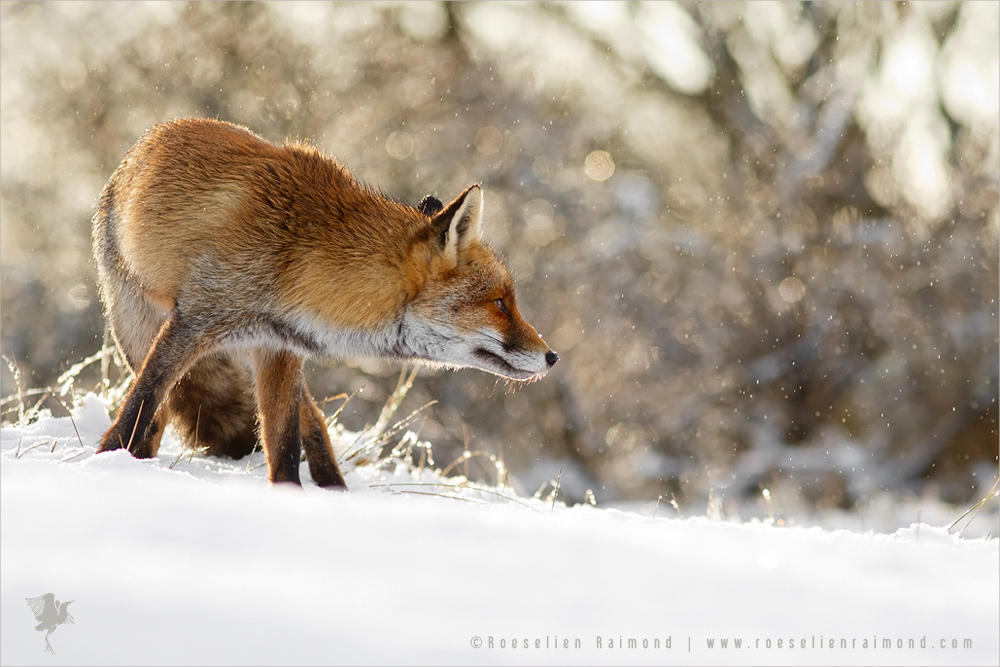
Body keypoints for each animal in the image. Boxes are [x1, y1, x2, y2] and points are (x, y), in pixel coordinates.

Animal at [91, 117, 560, 488]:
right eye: (500, 303)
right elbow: (139, 405)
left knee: (312, 424)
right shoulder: (194, 324)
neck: (296, 257)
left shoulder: (278, 348)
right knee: (156, 416)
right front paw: (104, 465)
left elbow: (283, 447)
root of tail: (144, 143)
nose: (552, 356)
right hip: (138, 334)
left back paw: (334, 489)